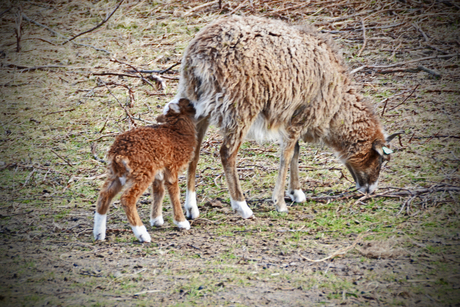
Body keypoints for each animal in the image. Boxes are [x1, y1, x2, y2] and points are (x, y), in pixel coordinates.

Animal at [94, 98, 197, 243]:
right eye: (188, 104)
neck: (177, 131)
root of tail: (118, 154)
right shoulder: (171, 168)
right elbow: (174, 193)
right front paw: (182, 223)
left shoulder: (159, 171)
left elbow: (159, 191)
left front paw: (156, 220)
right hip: (142, 172)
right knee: (127, 198)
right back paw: (143, 235)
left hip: (117, 174)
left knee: (104, 195)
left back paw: (99, 234)